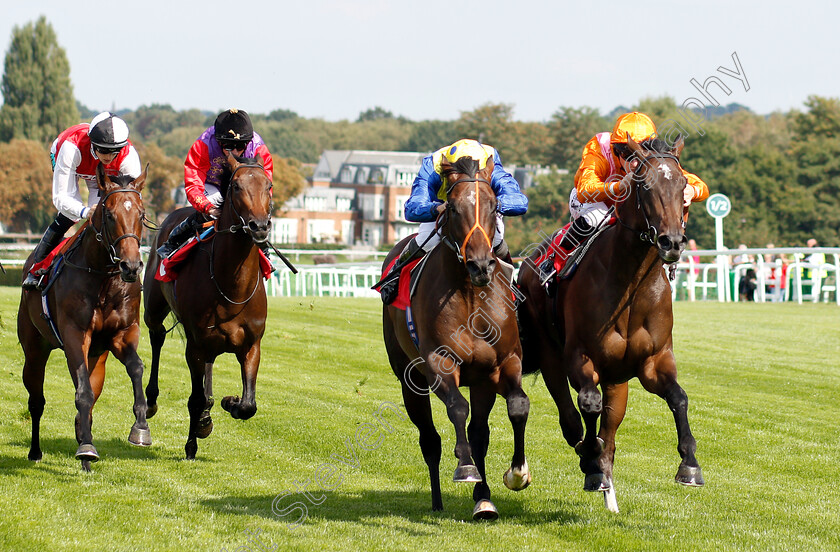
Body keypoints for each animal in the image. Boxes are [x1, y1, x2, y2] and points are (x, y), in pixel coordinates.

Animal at [18, 164, 151, 470]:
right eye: (110, 214)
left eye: (141, 215)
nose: (131, 266)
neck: (103, 280)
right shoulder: (75, 335)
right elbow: (83, 393)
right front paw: (87, 447)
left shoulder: (122, 334)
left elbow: (136, 368)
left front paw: (140, 428)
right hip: (34, 349)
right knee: (36, 400)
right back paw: (37, 451)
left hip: (97, 357)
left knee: (91, 392)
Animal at [143, 152, 270, 462]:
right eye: (236, 186)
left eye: (269, 186)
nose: (260, 226)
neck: (231, 286)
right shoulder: (196, 345)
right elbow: (195, 398)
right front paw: (192, 444)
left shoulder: (251, 345)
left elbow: (249, 404)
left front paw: (230, 402)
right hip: (154, 308)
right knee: (157, 336)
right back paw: (151, 402)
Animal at [382, 156, 532, 520]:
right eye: (451, 207)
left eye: (494, 206)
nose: (480, 265)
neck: (470, 295)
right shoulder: (439, 362)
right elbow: (456, 408)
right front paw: (465, 467)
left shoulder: (504, 363)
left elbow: (518, 405)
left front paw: (517, 473)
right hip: (408, 380)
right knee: (429, 439)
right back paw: (438, 500)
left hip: (481, 381)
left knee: (480, 433)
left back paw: (484, 500)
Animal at [520, 137, 704, 512]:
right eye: (645, 186)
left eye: (682, 185)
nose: (673, 242)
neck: (631, 286)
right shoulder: (579, 357)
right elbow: (588, 405)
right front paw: (591, 463)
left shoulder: (652, 362)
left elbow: (678, 397)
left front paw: (690, 466)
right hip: (550, 356)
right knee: (571, 421)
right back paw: (589, 463)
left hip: (617, 380)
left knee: (609, 430)